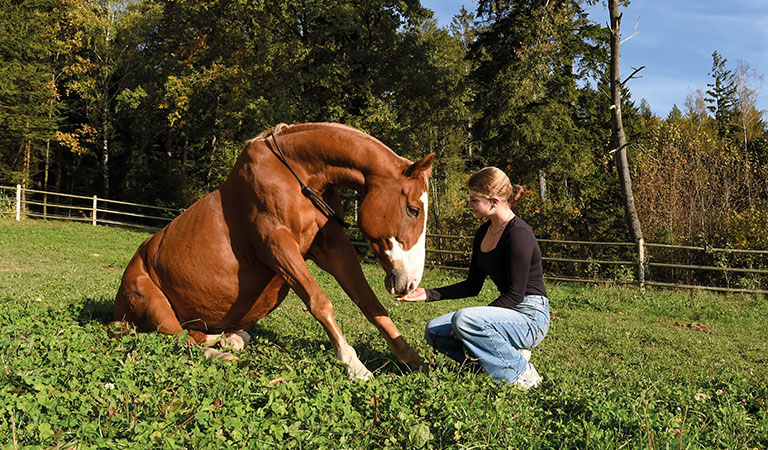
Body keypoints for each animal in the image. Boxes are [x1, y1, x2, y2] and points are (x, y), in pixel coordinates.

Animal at [112, 122, 435, 380]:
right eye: (413, 209)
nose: (410, 282)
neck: (296, 174)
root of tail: (118, 306)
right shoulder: (277, 244)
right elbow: (320, 303)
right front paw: (354, 365)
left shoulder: (334, 247)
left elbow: (369, 303)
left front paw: (412, 360)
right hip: (156, 307)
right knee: (180, 339)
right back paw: (222, 353)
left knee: (200, 335)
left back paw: (227, 340)